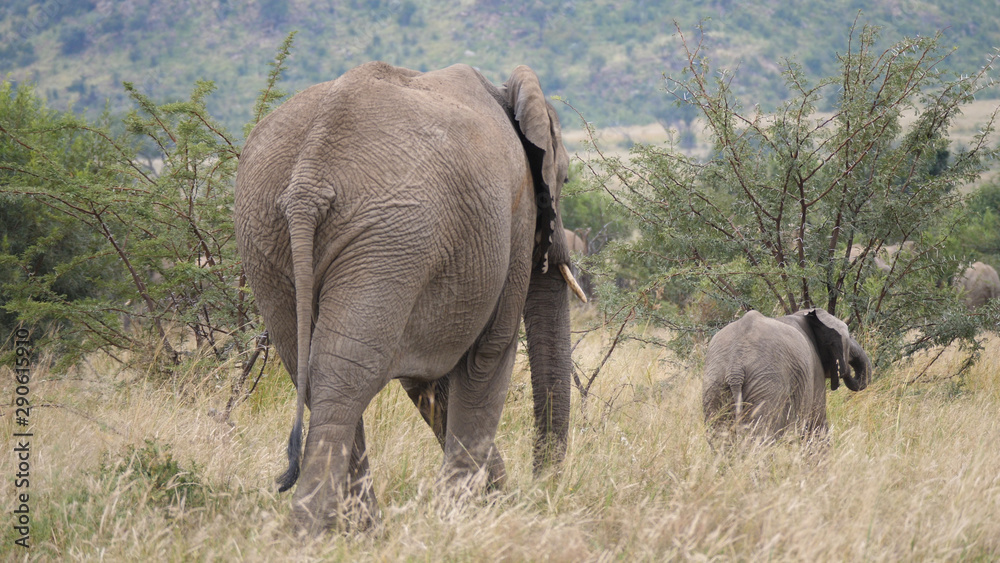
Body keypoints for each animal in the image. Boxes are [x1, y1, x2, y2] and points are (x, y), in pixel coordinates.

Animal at [234, 61, 587, 531]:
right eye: (563, 178)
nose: (540, 491)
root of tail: (308, 182)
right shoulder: (516, 214)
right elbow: (487, 356)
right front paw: (456, 520)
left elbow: (427, 382)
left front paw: (483, 502)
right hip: (391, 236)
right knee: (344, 375)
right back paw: (315, 532)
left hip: (267, 232)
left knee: (309, 368)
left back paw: (361, 531)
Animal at [702, 308, 871, 441]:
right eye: (849, 336)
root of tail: (735, 368)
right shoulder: (815, 372)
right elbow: (817, 426)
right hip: (768, 387)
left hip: (715, 384)